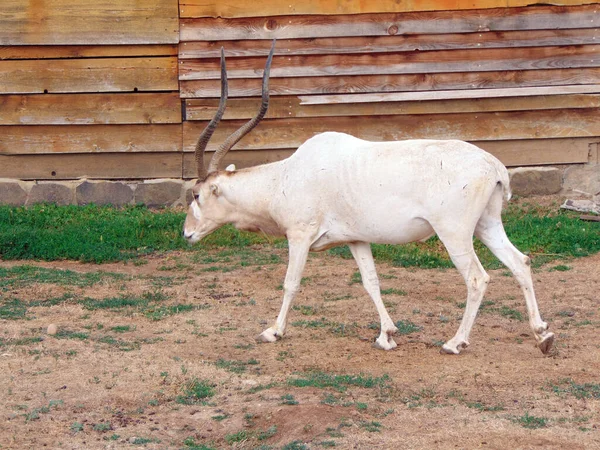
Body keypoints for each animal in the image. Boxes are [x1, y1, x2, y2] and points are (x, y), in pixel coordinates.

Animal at [183, 44, 552, 356]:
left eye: (197, 194)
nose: (186, 233)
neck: (284, 178)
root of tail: (493, 165)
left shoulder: (299, 236)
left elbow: (291, 282)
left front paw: (273, 331)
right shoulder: (356, 239)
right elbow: (371, 282)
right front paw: (386, 334)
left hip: (454, 233)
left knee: (477, 278)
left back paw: (455, 342)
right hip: (486, 225)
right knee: (520, 262)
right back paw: (543, 335)